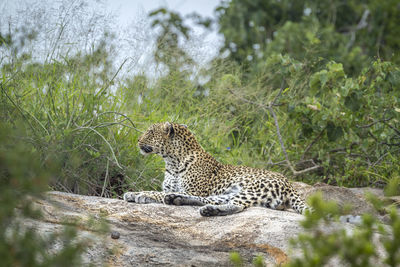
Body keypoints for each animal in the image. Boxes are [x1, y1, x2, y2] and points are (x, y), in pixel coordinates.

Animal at [123, 122, 308, 217]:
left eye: (150, 132)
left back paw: (207, 209)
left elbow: (157, 193)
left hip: (252, 190)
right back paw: (177, 199)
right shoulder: (176, 187)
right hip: (234, 192)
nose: (138, 140)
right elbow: (161, 191)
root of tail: (289, 184)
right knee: (213, 200)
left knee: (237, 206)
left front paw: (142, 194)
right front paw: (133, 193)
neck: (172, 162)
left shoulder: (195, 189)